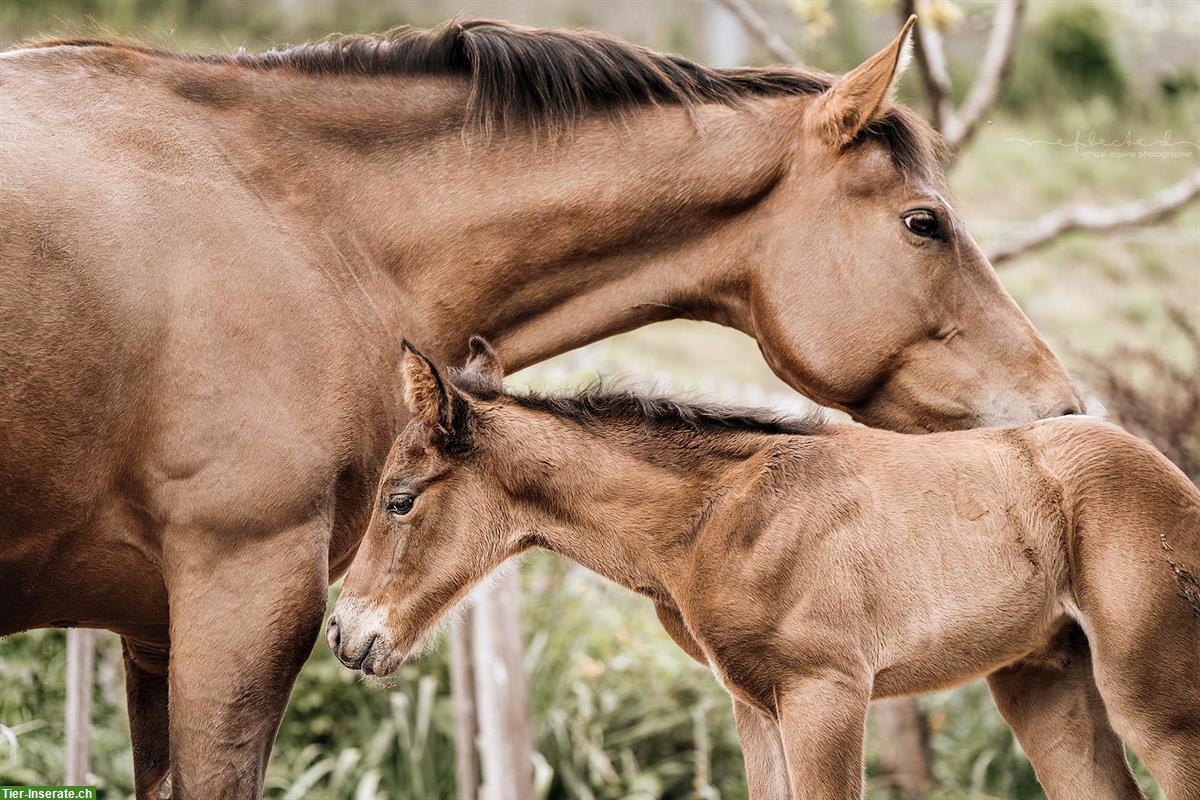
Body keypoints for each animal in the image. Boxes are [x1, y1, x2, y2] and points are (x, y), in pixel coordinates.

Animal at [331, 340, 1200, 800]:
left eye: (399, 501)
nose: (344, 633)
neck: (716, 519)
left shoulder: (826, 694)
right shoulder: (756, 704)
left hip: (1158, 703)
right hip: (1045, 687)